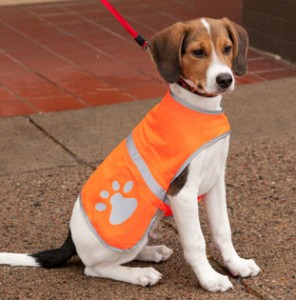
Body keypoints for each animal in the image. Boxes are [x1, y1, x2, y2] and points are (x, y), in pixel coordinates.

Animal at [0, 17, 260, 292]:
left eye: (227, 48)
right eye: (198, 52)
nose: (225, 79)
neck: (198, 108)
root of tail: (70, 240)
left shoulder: (215, 181)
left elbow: (223, 230)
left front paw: (237, 264)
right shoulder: (183, 193)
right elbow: (196, 242)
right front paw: (210, 279)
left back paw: (153, 251)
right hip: (122, 237)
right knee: (94, 268)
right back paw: (140, 274)